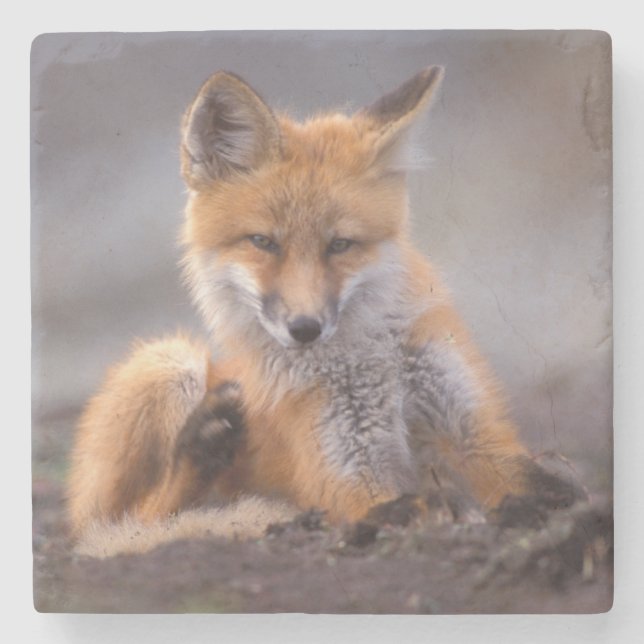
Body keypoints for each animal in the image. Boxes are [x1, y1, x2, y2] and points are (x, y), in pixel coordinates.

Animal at [67, 67, 579, 557]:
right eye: (263, 242)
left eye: (340, 245)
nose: (305, 329)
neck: (372, 361)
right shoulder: (346, 475)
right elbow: (403, 506)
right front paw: (446, 510)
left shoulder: (476, 433)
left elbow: (543, 483)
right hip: (168, 363)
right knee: (134, 520)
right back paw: (200, 450)